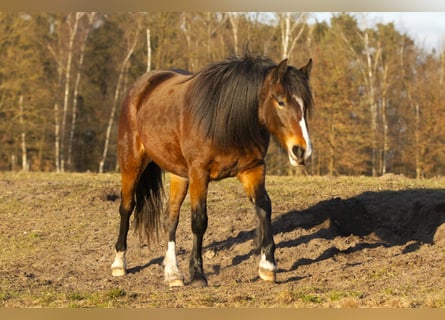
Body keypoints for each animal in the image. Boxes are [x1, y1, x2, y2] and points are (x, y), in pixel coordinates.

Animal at [110, 55, 312, 288]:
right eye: (280, 101)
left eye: (305, 104)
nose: (302, 151)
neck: (225, 121)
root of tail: (141, 86)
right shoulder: (199, 173)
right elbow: (199, 221)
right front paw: (198, 274)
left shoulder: (253, 169)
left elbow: (264, 208)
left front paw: (268, 266)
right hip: (132, 163)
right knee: (126, 207)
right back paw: (119, 264)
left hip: (179, 174)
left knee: (170, 216)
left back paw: (173, 273)